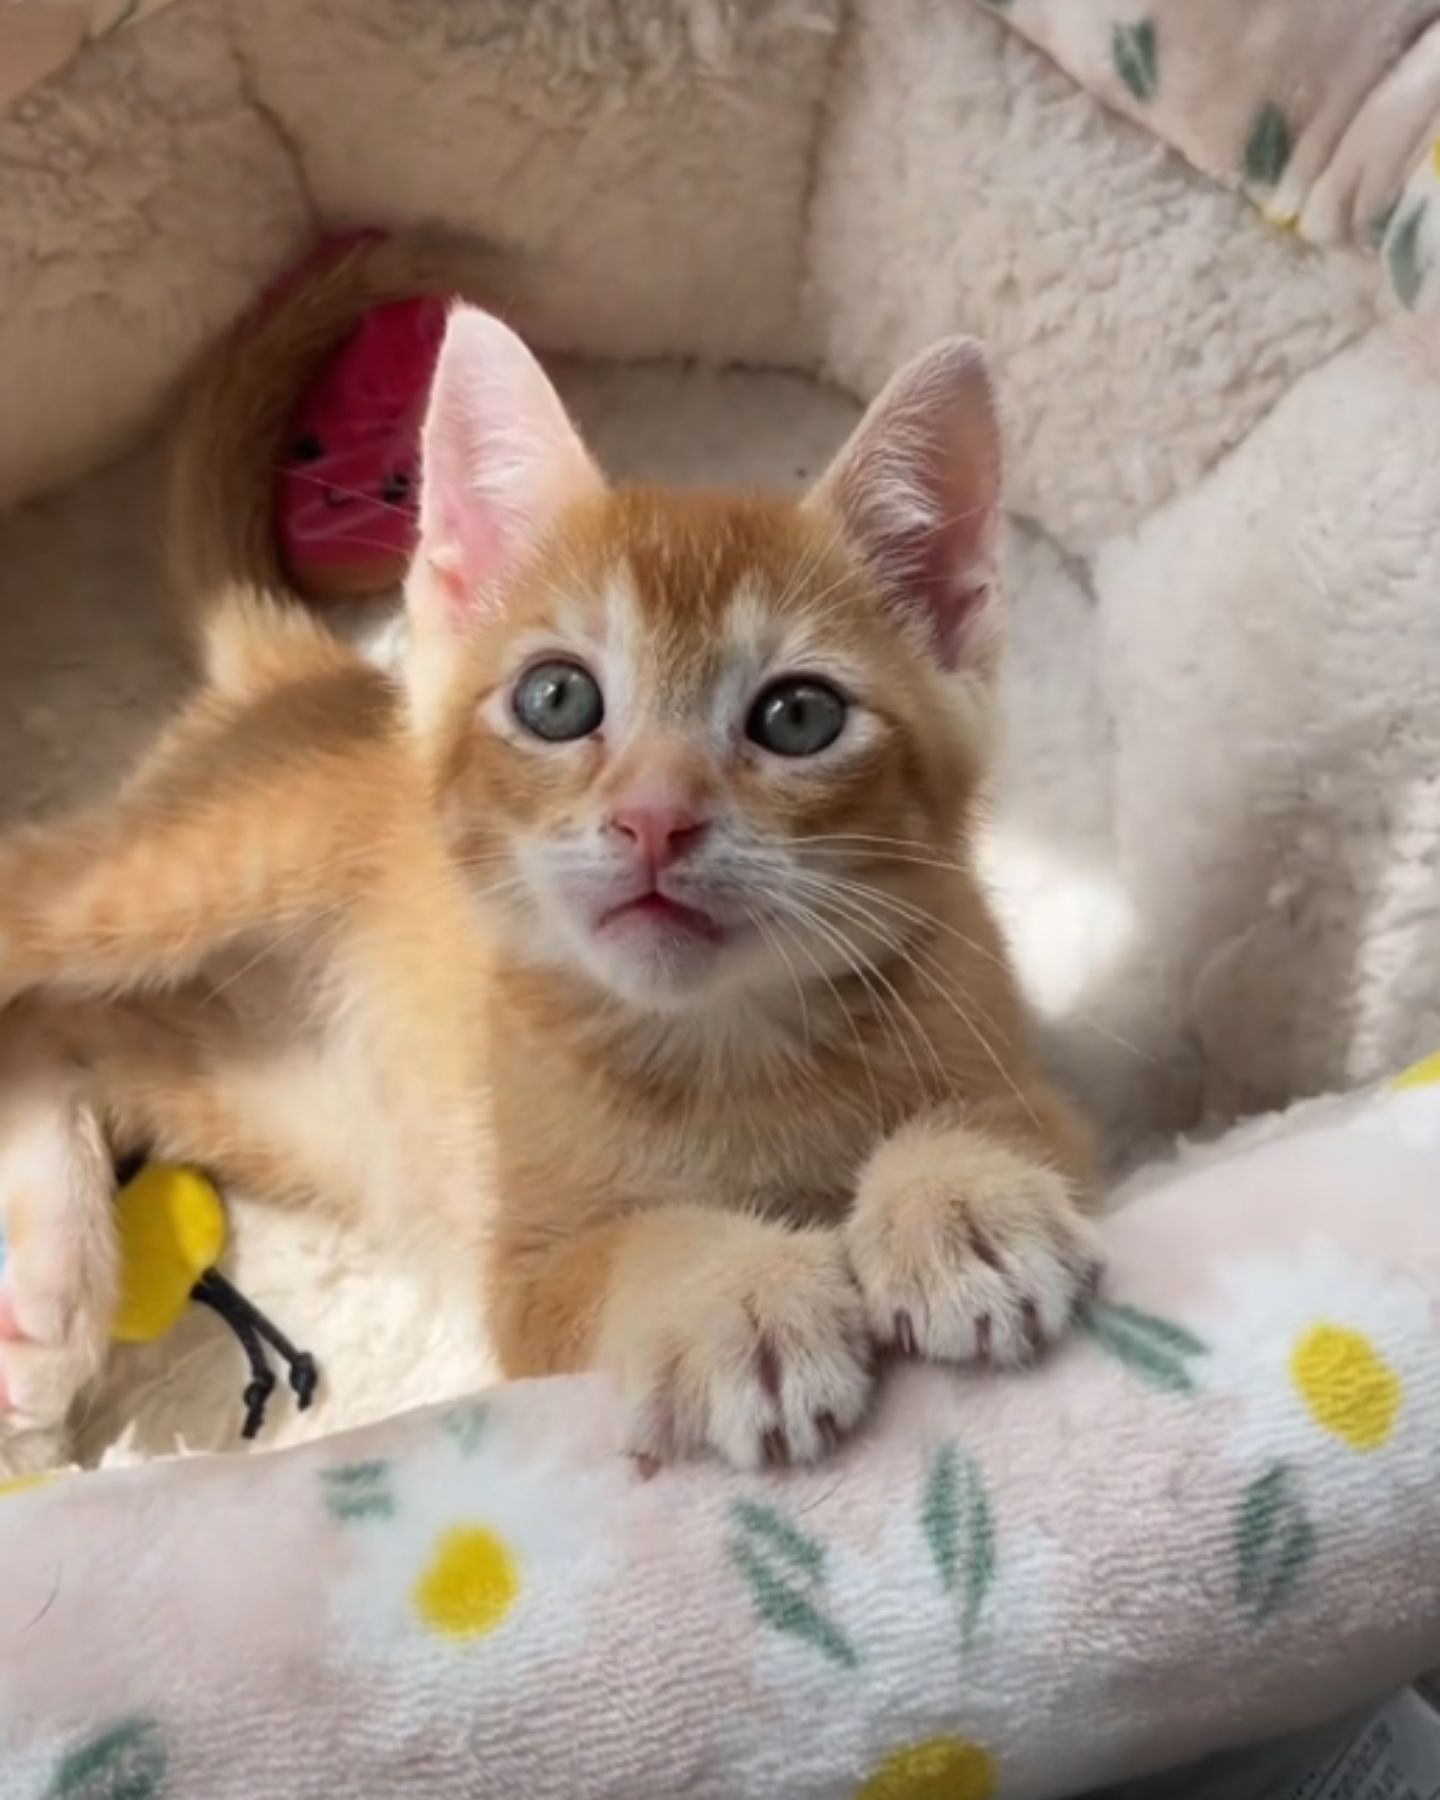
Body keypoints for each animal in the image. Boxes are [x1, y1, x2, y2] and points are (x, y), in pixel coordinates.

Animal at [0, 302, 1094, 1468]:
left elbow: (1017, 1127)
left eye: (800, 716)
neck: (724, 1048)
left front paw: (962, 1196)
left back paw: (54, 1301)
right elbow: (629, 1249)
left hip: (264, 1098)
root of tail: (320, 684)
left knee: (56, 1036)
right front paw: (730, 1293)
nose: (654, 817)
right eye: (558, 698)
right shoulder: (523, 1276)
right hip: (182, 885)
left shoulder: (1030, 1080)